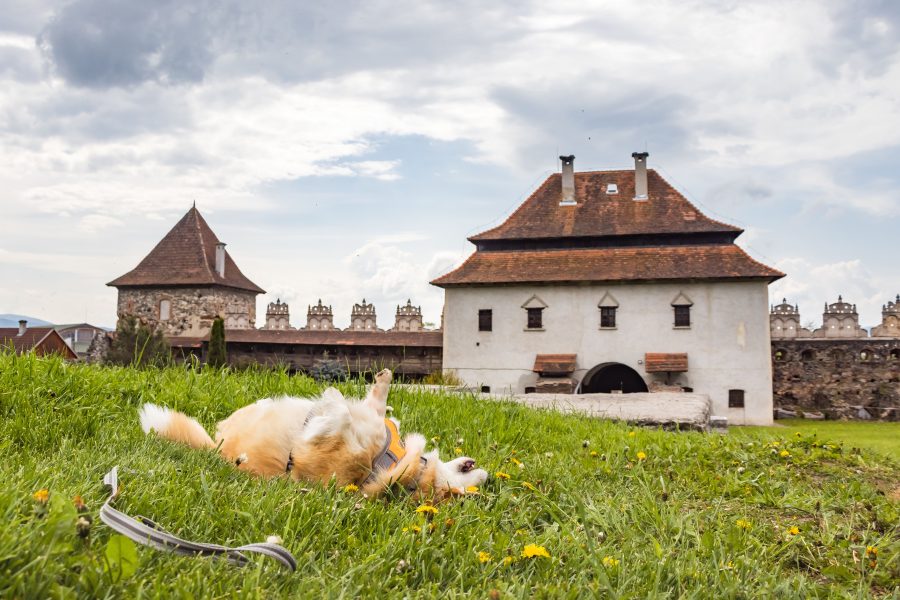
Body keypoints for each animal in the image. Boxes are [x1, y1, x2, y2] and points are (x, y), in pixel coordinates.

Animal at [138, 370, 488, 502]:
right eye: (474, 480)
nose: (485, 473)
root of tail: (216, 449)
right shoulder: (375, 418)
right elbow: (377, 405)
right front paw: (381, 381)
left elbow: (341, 414)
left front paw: (330, 399)